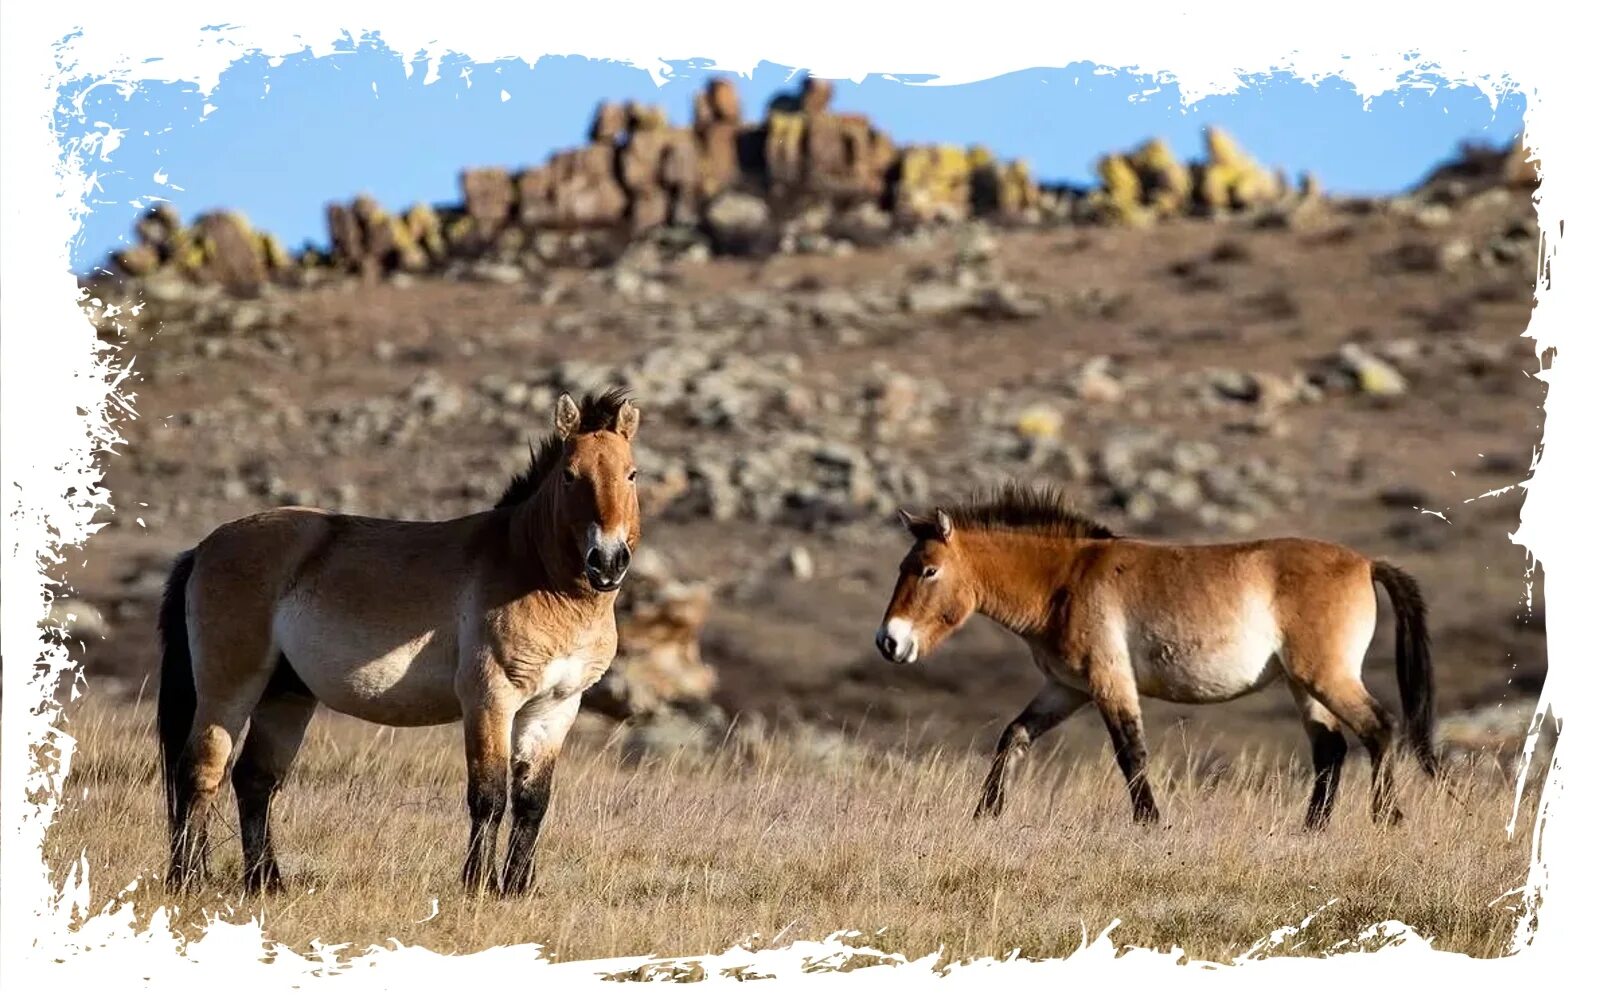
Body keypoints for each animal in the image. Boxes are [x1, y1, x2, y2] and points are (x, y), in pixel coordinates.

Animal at [157, 385, 643, 896]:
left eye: (631, 474)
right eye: (570, 476)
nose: (607, 561)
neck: (535, 574)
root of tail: (204, 548)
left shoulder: (555, 707)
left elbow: (532, 801)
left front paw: (516, 889)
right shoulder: (490, 700)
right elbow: (488, 795)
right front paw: (477, 885)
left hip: (286, 694)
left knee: (255, 780)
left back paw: (266, 882)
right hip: (229, 687)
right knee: (201, 772)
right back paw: (187, 880)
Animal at [876, 483, 1440, 825]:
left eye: (927, 570)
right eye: (902, 566)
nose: (889, 641)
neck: (1063, 581)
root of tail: (1365, 563)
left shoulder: (1108, 681)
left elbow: (1131, 752)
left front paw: (1150, 822)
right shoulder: (1065, 689)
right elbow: (1013, 736)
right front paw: (985, 815)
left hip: (1326, 675)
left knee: (1379, 727)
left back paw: (1387, 819)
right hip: (1304, 684)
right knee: (1331, 748)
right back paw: (1312, 828)